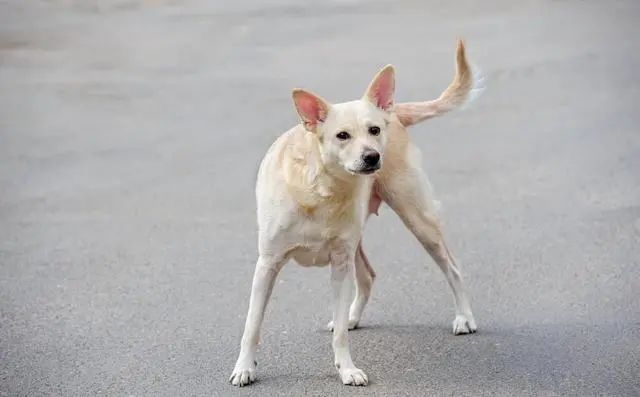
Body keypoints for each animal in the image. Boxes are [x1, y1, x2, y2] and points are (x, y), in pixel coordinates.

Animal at [229, 38, 480, 386]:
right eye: (342, 135)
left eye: (373, 130)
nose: (373, 157)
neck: (320, 189)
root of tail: (394, 113)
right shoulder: (267, 265)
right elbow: (252, 325)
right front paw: (244, 368)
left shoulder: (339, 263)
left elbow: (340, 338)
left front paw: (346, 369)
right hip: (360, 241)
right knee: (368, 276)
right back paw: (351, 317)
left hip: (418, 219)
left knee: (452, 268)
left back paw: (464, 317)